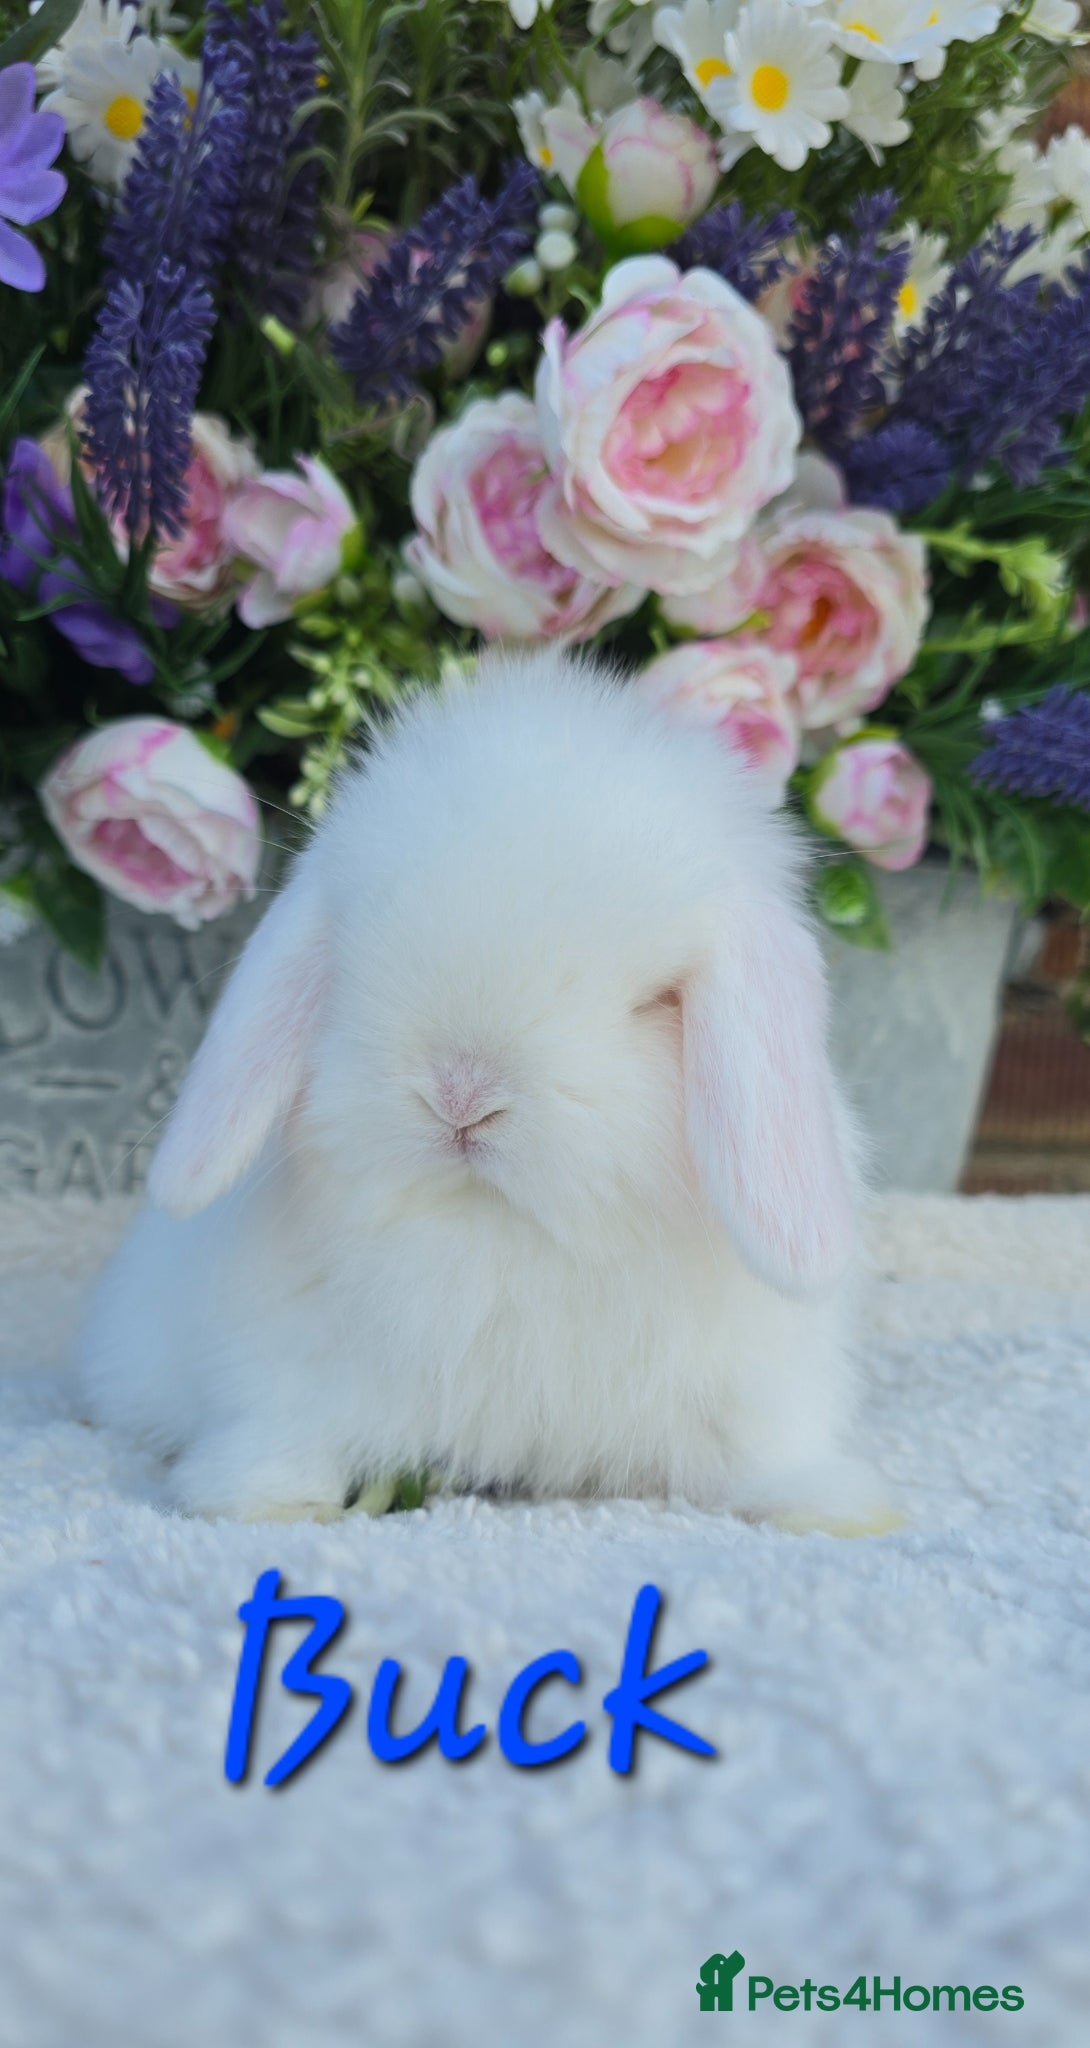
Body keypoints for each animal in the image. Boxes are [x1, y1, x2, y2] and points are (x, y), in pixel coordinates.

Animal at [78, 647, 899, 1535]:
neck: (502, 1239)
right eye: (354, 959)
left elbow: (769, 1451)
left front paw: (835, 1507)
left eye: (655, 1001)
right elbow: (289, 1429)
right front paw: (263, 1499)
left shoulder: (757, 1386)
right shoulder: (288, 1365)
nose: (462, 1095)